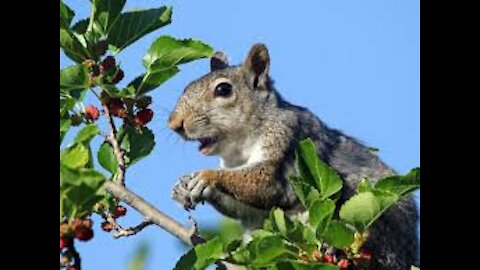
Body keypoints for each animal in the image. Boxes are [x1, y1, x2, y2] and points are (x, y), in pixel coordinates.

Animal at [171, 43, 418, 268]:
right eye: (186, 87)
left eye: (223, 90)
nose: (175, 124)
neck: (241, 148)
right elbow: (245, 207)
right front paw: (184, 187)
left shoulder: (288, 140)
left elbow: (267, 183)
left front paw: (206, 176)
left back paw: (335, 249)